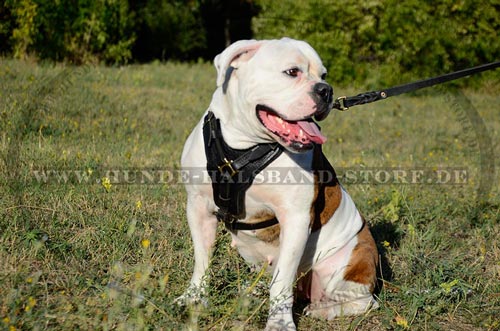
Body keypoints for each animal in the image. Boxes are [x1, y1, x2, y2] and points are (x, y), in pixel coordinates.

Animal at [178, 37, 376, 330]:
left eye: (323, 75)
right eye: (292, 72)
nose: (326, 90)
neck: (243, 146)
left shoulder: (295, 218)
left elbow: (281, 282)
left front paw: (280, 322)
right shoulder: (198, 207)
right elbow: (202, 259)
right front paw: (194, 298)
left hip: (346, 266)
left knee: (363, 302)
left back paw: (322, 311)